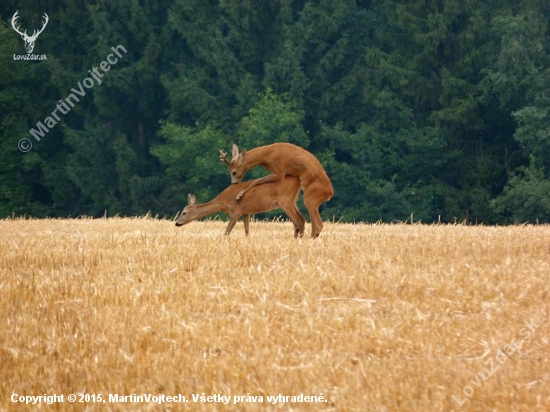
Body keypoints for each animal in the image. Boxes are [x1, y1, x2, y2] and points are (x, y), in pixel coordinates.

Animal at [176, 175, 306, 237]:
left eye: (184, 212)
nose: (177, 223)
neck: (222, 201)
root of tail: (298, 181)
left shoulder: (236, 211)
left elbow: (227, 232)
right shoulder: (246, 212)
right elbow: (247, 231)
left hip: (285, 201)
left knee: (299, 220)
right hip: (292, 201)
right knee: (299, 220)